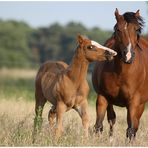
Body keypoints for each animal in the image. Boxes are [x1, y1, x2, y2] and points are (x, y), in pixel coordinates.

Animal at [92, 8, 148, 140]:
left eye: (137, 29)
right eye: (118, 29)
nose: (128, 55)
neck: (122, 73)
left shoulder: (134, 102)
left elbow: (131, 129)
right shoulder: (103, 97)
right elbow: (99, 125)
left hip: (140, 105)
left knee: (134, 125)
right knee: (111, 119)